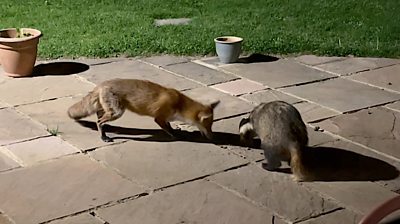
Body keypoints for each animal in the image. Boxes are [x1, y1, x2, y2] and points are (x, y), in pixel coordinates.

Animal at [67, 79, 220, 142]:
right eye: (208, 126)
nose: (213, 138)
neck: (179, 104)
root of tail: (100, 84)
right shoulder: (159, 117)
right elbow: (168, 129)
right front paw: (176, 136)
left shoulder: (166, 118)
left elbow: (170, 126)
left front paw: (177, 131)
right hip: (117, 112)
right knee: (99, 122)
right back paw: (103, 136)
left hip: (108, 109)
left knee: (99, 118)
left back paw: (105, 130)